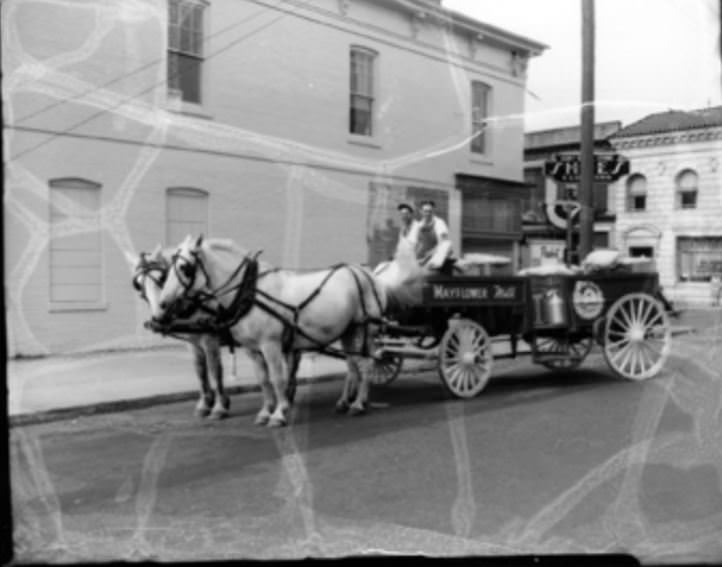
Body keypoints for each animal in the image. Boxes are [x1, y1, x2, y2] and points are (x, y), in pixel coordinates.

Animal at [126, 246, 300, 420]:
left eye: (161, 277)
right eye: (139, 284)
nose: (158, 317)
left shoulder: (210, 339)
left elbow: (214, 370)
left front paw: (220, 406)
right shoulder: (193, 342)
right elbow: (200, 370)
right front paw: (205, 402)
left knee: (292, 363)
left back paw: (287, 397)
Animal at [153, 234, 416, 426]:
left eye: (185, 267)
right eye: (169, 268)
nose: (163, 304)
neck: (250, 291)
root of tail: (367, 274)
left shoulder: (270, 345)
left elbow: (278, 377)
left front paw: (280, 413)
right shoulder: (252, 349)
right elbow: (263, 380)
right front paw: (265, 411)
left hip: (367, 328)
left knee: (365, 364)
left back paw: (359, 403)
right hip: (348, 331)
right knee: (352, 365)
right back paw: (344, 402)